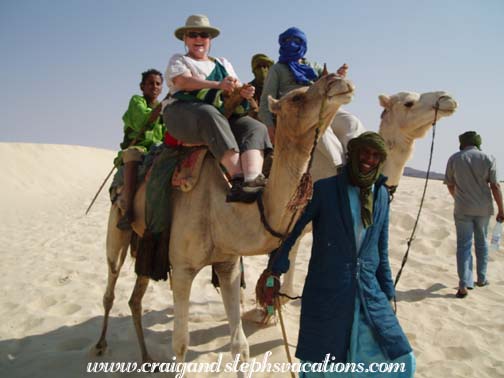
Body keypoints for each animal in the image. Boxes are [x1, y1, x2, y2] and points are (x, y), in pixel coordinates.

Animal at [93, 73, 354, 364]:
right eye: (297, 97)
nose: (338, 80)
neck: (225, 206)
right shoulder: (182, 268)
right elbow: (180, 344)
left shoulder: (228, 265)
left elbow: (240, 344)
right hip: (117, 229)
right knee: (111, 282)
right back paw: (100, 345)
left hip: (148, 243)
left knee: (135, 297)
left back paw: (148, 359)